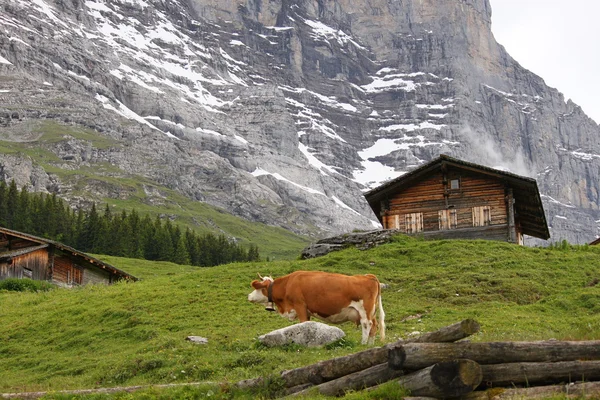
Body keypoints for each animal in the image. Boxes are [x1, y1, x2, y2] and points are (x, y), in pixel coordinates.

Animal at [247, 270, 384, 346]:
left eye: (257, 288)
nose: (249, 296)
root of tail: (368, 276)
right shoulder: (307, 311)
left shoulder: (300, 306)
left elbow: (302, 323)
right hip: (371, 311)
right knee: (374, 326)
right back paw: (370, 345)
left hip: (365, 310)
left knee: (366, 324)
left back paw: (363, 343)